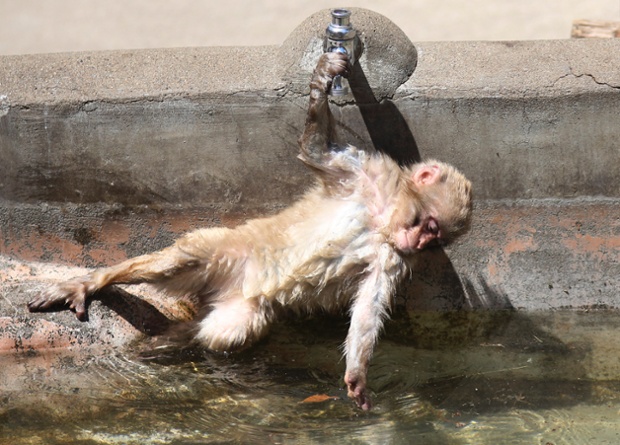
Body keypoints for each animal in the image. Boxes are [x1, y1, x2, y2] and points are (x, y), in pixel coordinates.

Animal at [29, 52, 472, 410]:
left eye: (434, 239)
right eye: (429, 226)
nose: (419, 242)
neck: (384, 216)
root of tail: (227, 288)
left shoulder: (393, 254)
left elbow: (371, 300)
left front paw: (357, 377)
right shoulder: (365, 172)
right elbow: (317, 152)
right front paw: (325, 76)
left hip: (238, 306)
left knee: (230, 332)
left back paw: (179, 341)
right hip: (226, 253)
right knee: (182, 259)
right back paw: (94, 283)